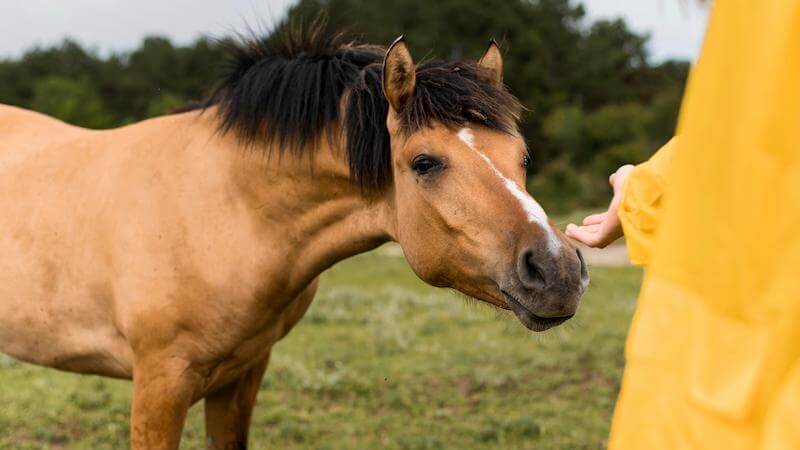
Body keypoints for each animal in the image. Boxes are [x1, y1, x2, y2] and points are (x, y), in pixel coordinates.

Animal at [0, 27, 588, 449]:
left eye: (523, 157)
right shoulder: (160, 383)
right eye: (424, 162)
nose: (557, 271)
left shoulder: (240, 375)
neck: (225, 206)